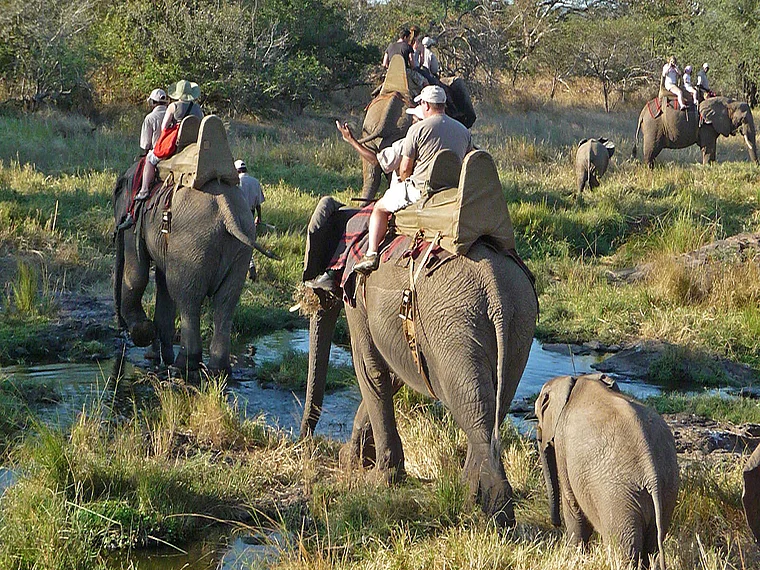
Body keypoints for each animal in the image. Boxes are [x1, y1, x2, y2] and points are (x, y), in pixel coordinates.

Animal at [113, 115, 268, 376]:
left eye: (115, 192)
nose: (121, 331)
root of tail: (226, 209)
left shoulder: (136, 218)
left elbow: (138, 273)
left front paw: (144, 335)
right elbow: (161, 284)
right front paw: (155, 356)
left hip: (193, 241)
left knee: (187, 298)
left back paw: (183, 364)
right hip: (238, 243)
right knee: (225, 302)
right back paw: (217, 369)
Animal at [298, 200, 538, 526]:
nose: (304, 442)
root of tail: (498, 295)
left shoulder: (357, 293)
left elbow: (370, 369)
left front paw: (380, 479)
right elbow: (393, 374)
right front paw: (353, 459)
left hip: (455, 328)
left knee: (472, 407)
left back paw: (493, 515)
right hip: (519, 326)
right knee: (495, 405)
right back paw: (469, 500)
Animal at [535, 374, 679, 570]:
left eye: (538, 416)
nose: (555, 524)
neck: (579, 379)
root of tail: (652, 475)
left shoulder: (562, 445)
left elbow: (573, 506)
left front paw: (575, 558)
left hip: (616, 498)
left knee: (624, 551)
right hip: (667, 490)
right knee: (653, 547)